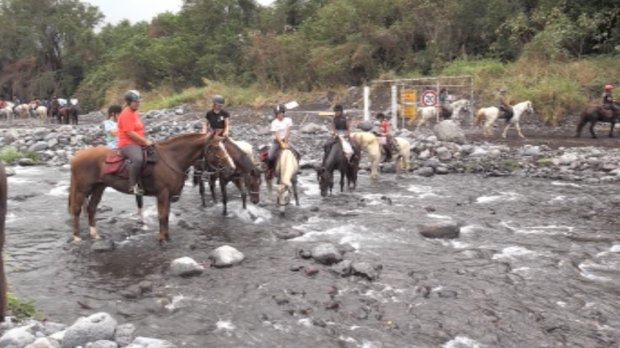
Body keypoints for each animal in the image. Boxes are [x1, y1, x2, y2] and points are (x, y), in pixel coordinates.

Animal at [68, 132, 231, 243]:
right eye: (215, 147)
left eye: (224, 147)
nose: (230, 167)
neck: (172, 159)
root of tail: (77, 155)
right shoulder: (163, 194)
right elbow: (162, 216)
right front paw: (162, 238)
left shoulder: (168, 196)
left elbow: (166, 216)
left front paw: (167, 236)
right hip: (83, 189)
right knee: (77, 210)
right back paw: (76, 236)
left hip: (99, 188)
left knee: (91, 208)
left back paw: (94, 234)